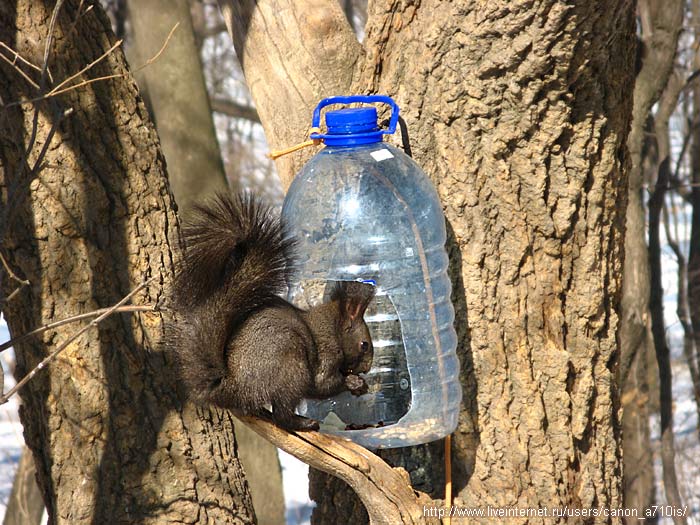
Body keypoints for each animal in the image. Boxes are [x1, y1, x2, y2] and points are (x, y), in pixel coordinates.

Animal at [166, 192, 374, 430]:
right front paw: (354, 382)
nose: (367, 368)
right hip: (290, 363)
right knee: (282, 414)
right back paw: (304, 423)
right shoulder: (327, 354)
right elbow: (323, 384)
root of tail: (231, 387)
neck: (334, 326)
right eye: (364, 345)